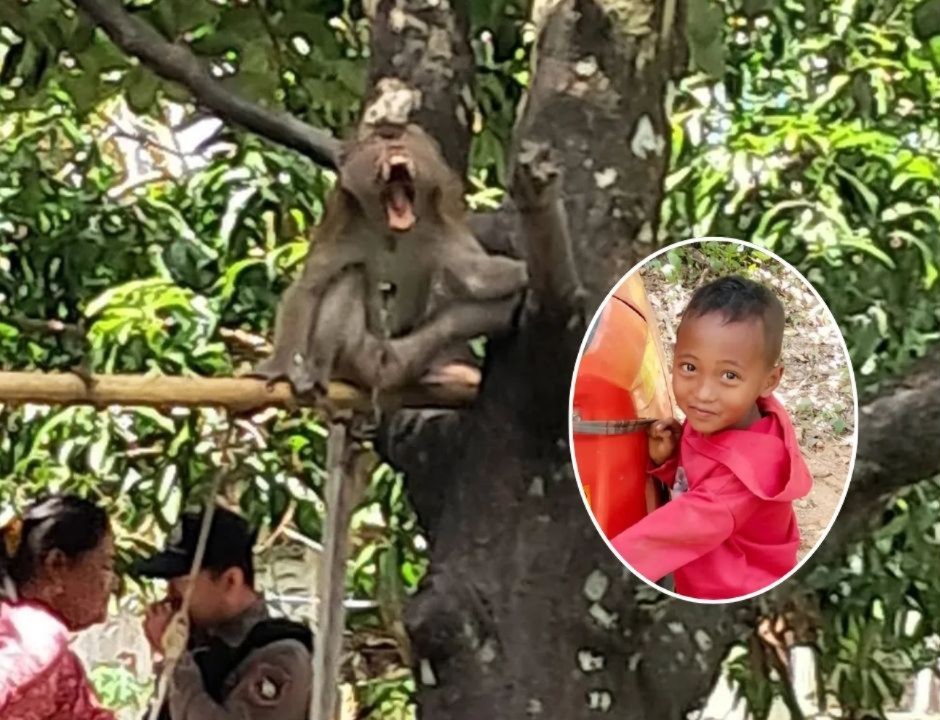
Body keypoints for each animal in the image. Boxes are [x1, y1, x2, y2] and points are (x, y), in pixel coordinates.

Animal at [251, 123, 529, 396]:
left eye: (402, 137)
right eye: (379, 141)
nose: (395, 146)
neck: (391, 229)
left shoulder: (441, 219)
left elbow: (475, 274)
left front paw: (526, 273)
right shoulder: (343, 220)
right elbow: (309, 287)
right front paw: (279, 367)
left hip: (404, 360)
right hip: (359, 351)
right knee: (351, 274)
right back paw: (317, 373)